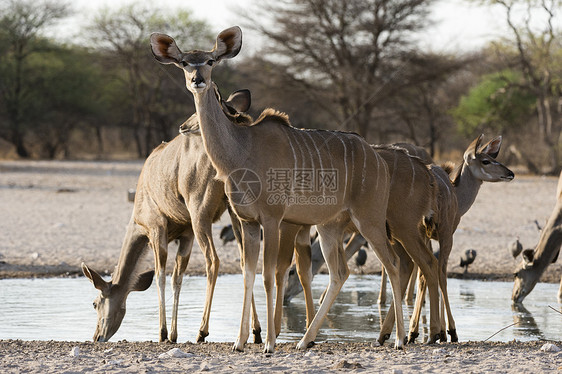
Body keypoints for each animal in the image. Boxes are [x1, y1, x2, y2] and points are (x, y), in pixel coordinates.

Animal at [80, 87, 264, 342]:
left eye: (95, 303)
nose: (97, 336)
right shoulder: (185, 235)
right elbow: (178, 277)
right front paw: (174, 334)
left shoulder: (156, 228)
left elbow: (161, 275)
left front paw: (164, 332)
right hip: (235, 214)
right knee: (246, 259)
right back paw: (255, 331)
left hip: (200, 216)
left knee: (213, 261)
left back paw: (202, 331)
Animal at [149, 27, 402, 352]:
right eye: (183, 63)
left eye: (210, 61)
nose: (197, 80)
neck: (242, 151)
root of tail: (377, 158)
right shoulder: (247, 222)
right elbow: (247, 275)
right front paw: (240, 342)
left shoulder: (271, 219)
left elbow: (268, 275)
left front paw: (268, 342)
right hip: (330, 226)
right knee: (339, 273)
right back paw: (304, 341)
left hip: (369, 220)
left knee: (393, 264)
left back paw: (398, 339)